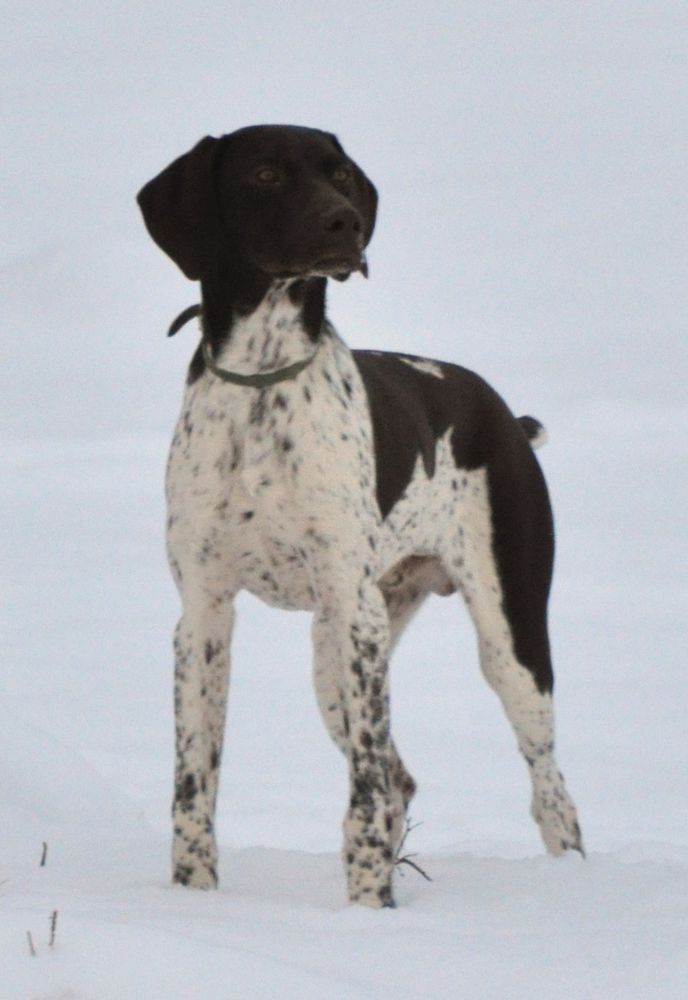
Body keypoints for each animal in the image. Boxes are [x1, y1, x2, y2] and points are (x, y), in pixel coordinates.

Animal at [136, 123, 580, 908]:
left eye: (340, 174)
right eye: (265, 173)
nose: (344, 222)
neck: (264, 379)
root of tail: (502, 413)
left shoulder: (354, 612)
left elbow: (365, 792)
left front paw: (370, 909)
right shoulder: (203, 617)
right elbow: (195, 783)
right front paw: (195, 897)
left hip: (505, 641)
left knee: (549, 789)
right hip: (333, 657)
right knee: (403, 779)